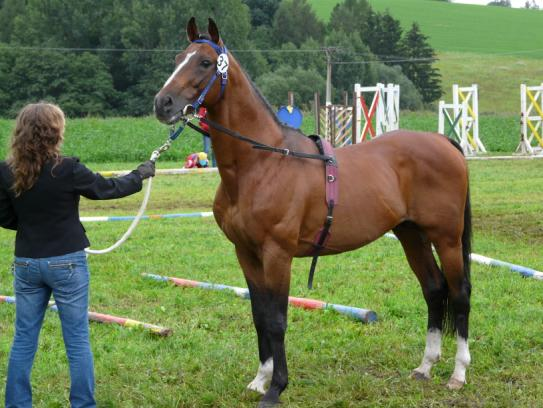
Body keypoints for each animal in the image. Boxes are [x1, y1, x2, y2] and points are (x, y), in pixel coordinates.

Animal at [154, 17, 472, 406]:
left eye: (204, 62)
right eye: (177, 58)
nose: (163, 103)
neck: (262, 162)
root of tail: (444, 141)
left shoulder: (278, 254)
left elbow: (277, 319)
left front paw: (276, 387)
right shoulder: (246, 253)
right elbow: (259, 315)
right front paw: (260, 379)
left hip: (447, 238)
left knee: (459, 294)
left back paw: (458, 373)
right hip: (411, 236)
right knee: (434, 289)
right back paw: (425, 366)